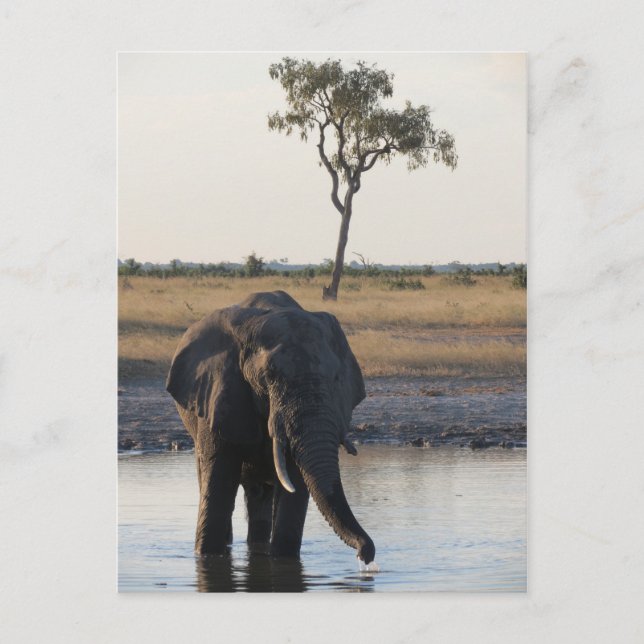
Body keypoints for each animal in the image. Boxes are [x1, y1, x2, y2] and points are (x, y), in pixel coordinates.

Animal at [166, 290, 375, 564]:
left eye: (336, 378)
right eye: (269, 377)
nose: (366, 555)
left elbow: (295, 485)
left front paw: (283, 560)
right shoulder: (220, 392)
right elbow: (220, 478)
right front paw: (207, 556)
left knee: (259, 497)